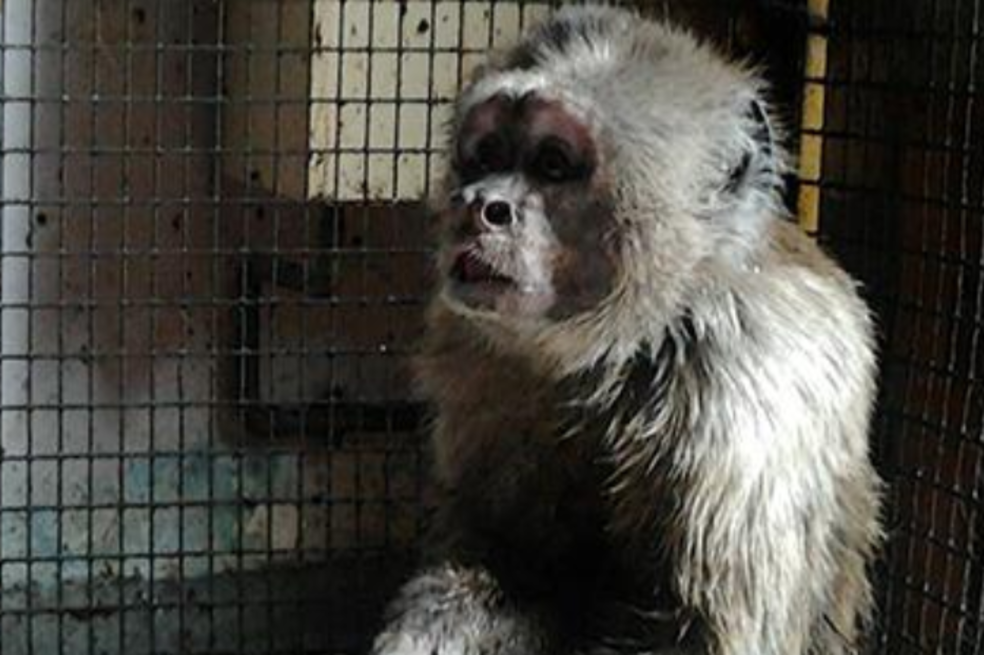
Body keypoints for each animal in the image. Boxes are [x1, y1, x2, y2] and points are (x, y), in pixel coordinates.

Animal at [370, 6, 882, 655]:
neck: (636, 336)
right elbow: (500, 558)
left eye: (553, 163)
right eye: (487, 154)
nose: (479, 205)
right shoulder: (475, 353)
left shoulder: (744, 375)